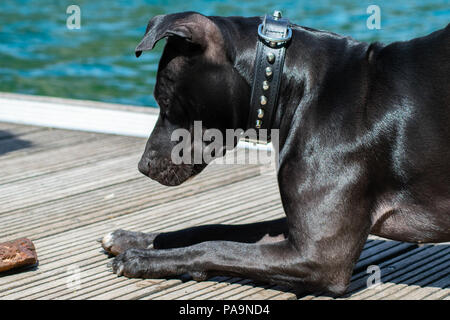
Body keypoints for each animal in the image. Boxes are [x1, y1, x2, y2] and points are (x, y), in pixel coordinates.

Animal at [103, 12, 450, 296]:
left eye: (164, 100)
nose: (143, 166)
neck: (292, 83)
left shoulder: (318, 257)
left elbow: (215, 247)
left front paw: (142, 258)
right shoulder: (296, 232)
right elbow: (215, 230)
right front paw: (136, 238)